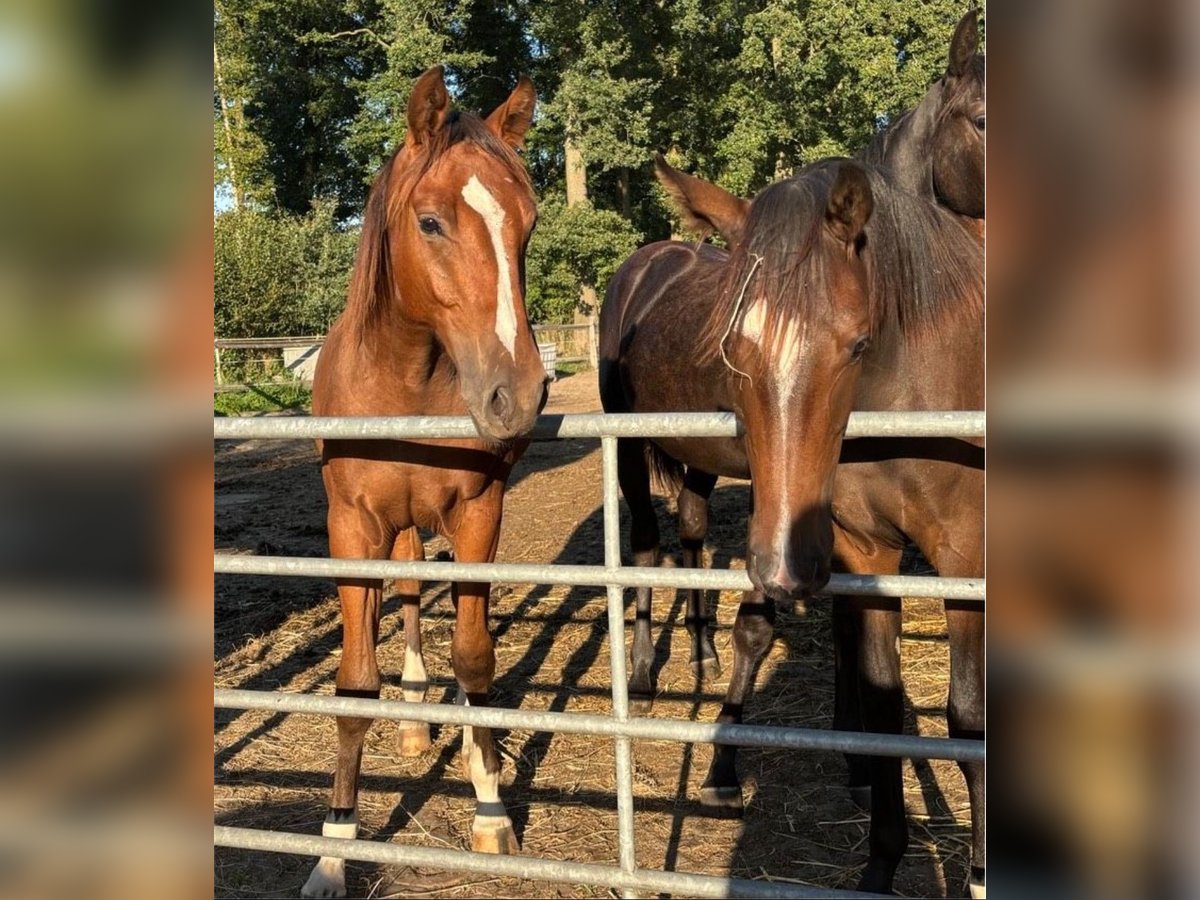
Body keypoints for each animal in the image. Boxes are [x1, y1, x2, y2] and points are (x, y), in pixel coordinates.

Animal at [300, 66, 549, 897]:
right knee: (406, 596)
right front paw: (335, 846)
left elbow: (475, 661)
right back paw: (411, 719)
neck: (404, 378)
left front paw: (491, 810)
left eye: (528, 224)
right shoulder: (351, 526)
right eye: (432, 222)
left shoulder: (478, 514)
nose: (517, 394)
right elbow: (354, 683)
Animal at [600, 154, 984, 897]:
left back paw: (701, 651)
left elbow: (948, 714)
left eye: (858, 344)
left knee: (690, 531)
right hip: (629, 445)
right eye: (731, 348)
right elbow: (883, 702)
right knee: (645, 547)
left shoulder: (954, 563)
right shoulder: (853, 545)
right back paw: (643, 673)